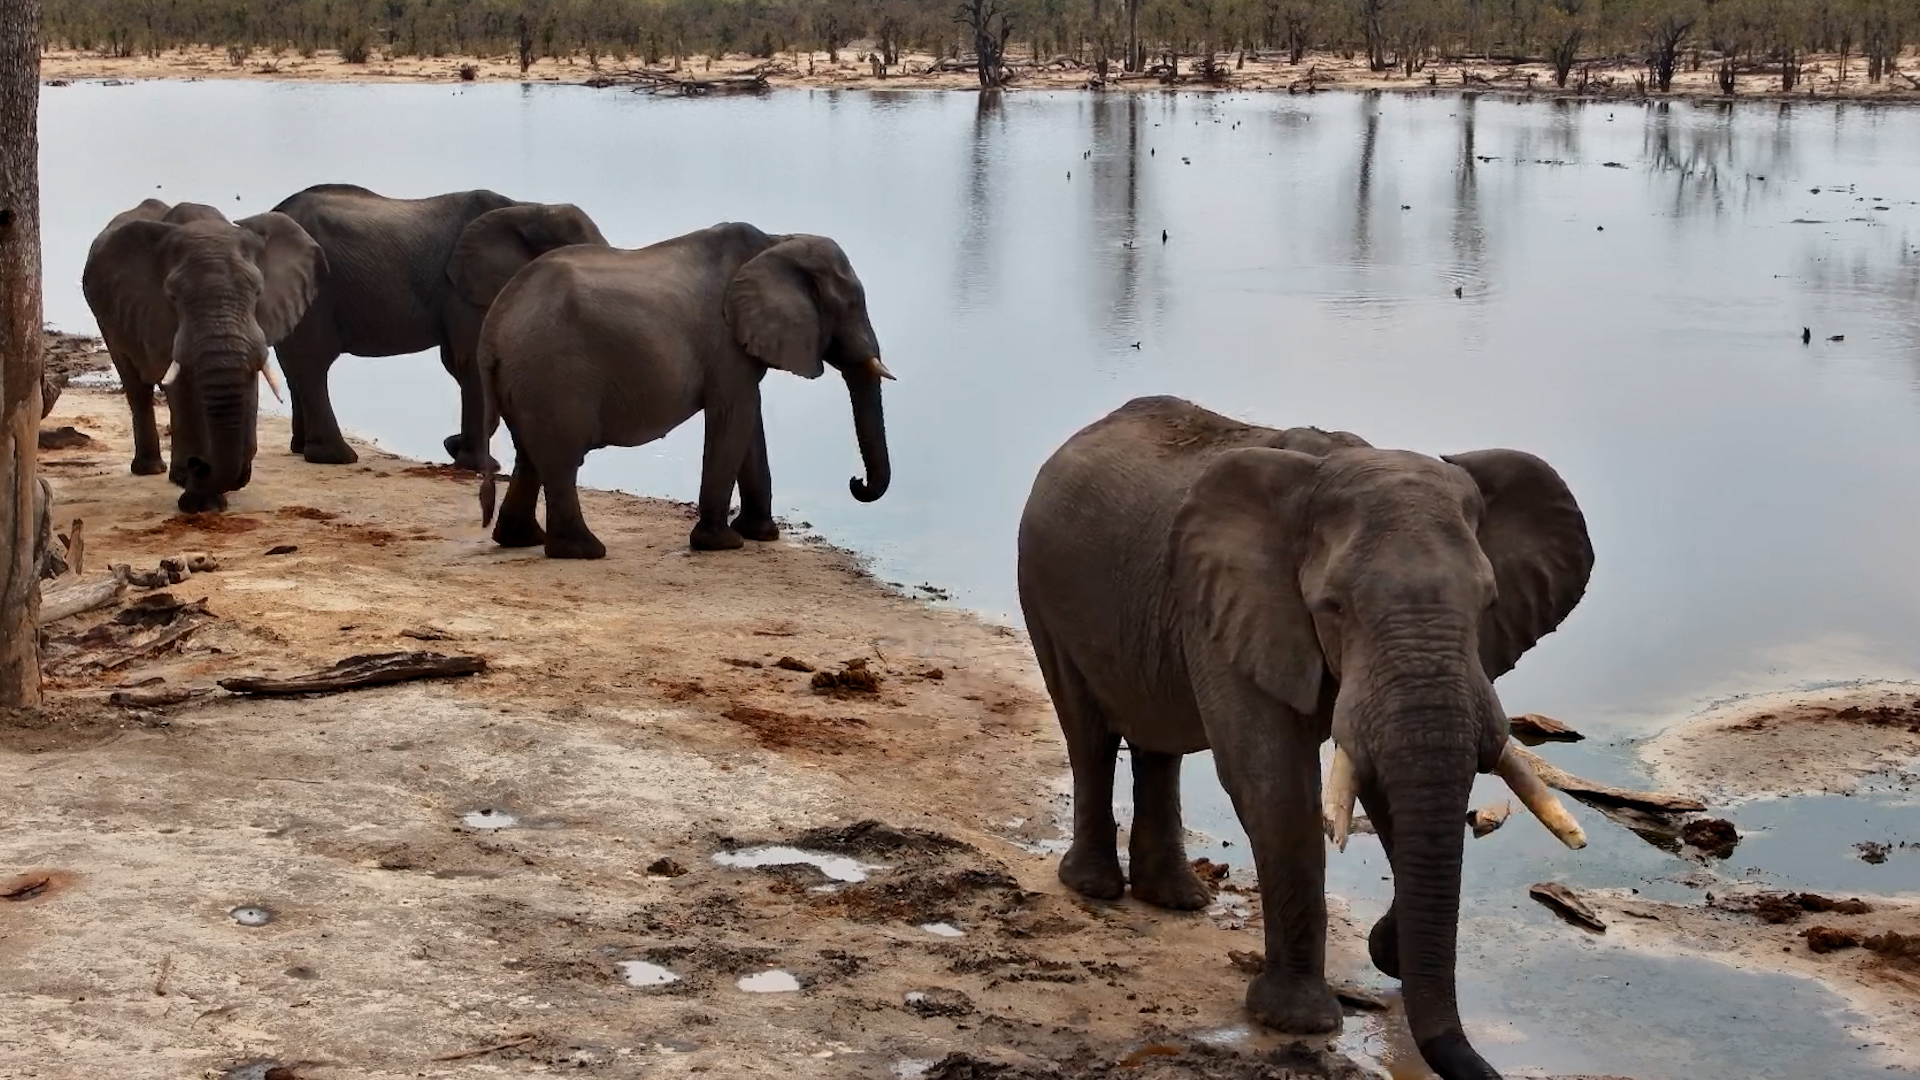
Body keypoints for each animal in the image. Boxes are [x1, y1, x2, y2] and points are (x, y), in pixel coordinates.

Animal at [82, 200, 326, 512]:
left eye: (258, 292)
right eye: (173, 296)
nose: (198, 465)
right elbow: (183, 389)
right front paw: (200, 501)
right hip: (109, 321)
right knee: (137, 386)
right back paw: (154, 471)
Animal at [269, 184, 607, 470]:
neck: (530, 209)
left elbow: (459, 363)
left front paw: (454, 448)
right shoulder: (463, 290)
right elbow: (471, 361)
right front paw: (479, 467)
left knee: (296, 366)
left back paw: (301, 449)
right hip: (316, 290)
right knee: (314, 362)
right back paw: (336, 458)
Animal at [476, 222, 893, 559]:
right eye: (852, 304)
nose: (856, 482)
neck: (776, 241)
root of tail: (493, 327)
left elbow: (749, 421)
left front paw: (759, 535)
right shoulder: (726, 343)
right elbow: (735, 414)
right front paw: (723, 544)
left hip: (528, 379)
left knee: (530, 455)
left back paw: (521, 539)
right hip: (554, 374)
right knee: (561, 460)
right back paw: (584, 551)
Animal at [1015, 396, 1594, 1080]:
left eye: (1489, 603)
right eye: (1333, 606)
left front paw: (1389, 951)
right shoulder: (1230, 603)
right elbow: (1273, 782)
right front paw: (1300, 1021)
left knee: (1159, 742)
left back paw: (1178, 901)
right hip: (1043, 586)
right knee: (1089, 734)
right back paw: (1096, 889)